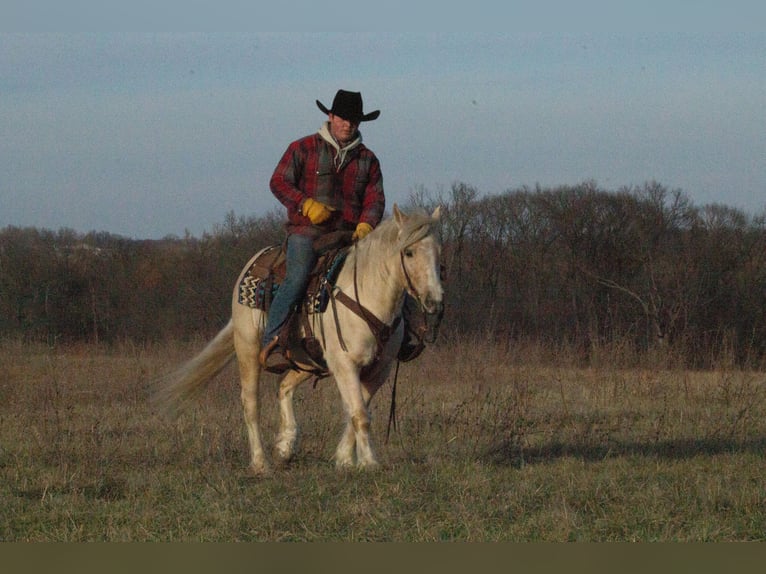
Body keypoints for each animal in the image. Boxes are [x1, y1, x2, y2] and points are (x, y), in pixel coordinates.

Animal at [156, 205, 444, 474]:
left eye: (438, 251)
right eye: (409, 252)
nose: (435, 301)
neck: (366, 293)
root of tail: (252, 263)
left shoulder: (378, 370)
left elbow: (358, 410)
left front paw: (344, 459)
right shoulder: (344, 364)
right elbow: (360, 414)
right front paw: (369, 462)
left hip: (305, 357)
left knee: (283, 386)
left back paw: (285, 446)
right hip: (248, 347)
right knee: (251, 403)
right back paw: (261, 462)